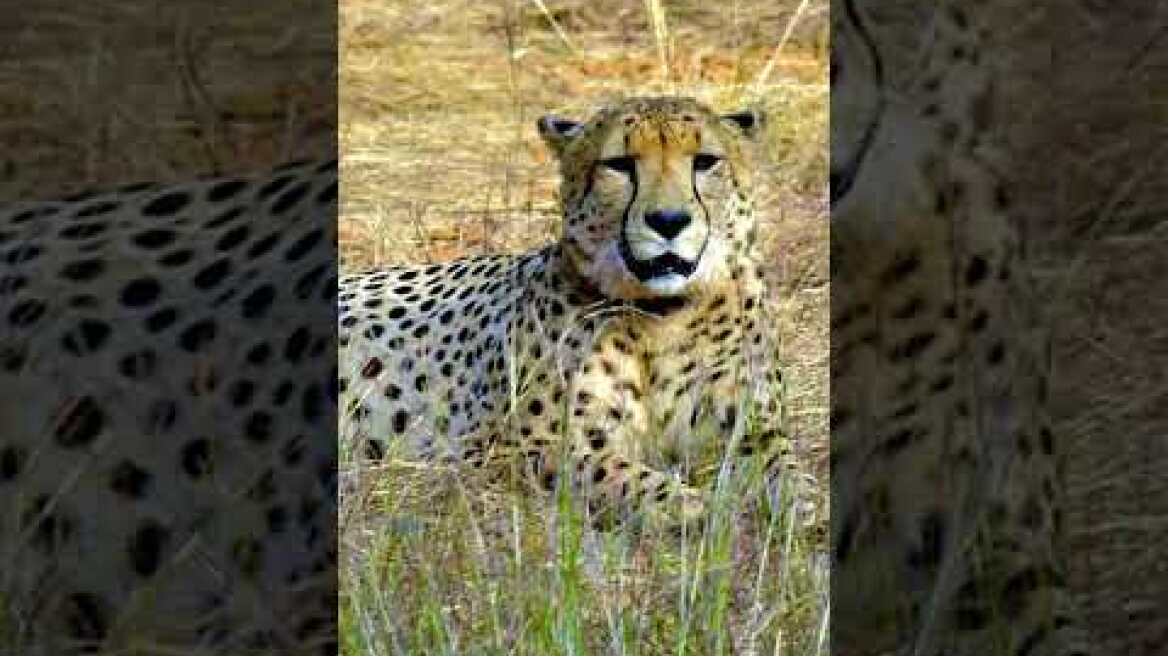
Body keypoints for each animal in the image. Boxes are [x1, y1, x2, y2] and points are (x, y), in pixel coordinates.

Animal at [338, 96, 799, 527]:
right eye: (619, 165)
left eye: (704, 162)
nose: (668, 220)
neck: (662, 315)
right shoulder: (513, 449)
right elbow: (616, 474)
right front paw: (693, 508)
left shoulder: (750, 428)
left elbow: (785, 466)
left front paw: (802, 509)